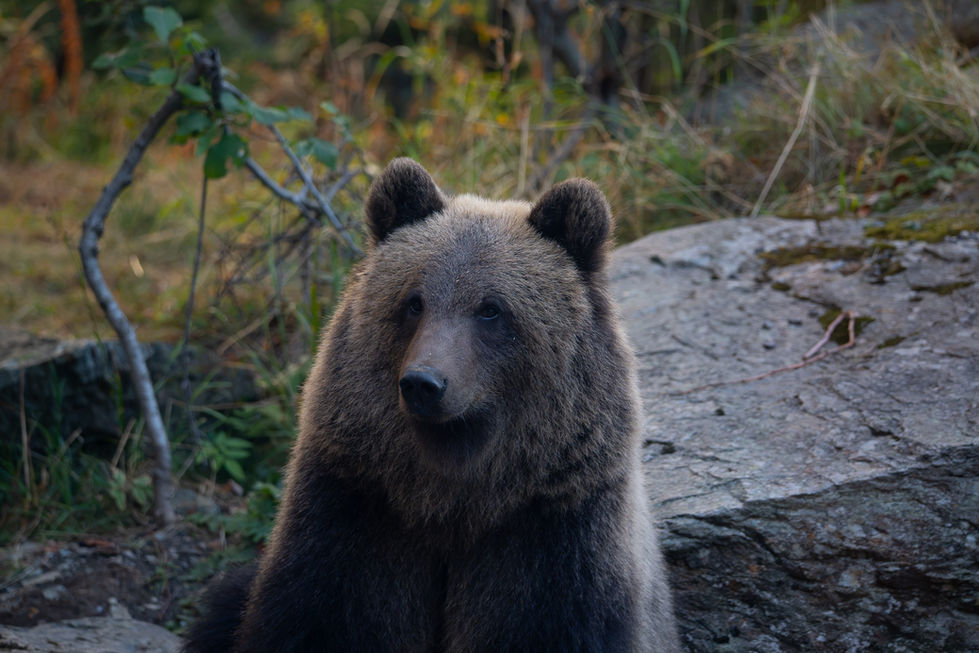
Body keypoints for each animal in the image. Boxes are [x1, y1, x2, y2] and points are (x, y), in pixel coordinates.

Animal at [183, 158, 679, 652]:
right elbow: (325, 615)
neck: (448, 499)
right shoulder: (357, 508)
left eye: (491, 308)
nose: (423, 383)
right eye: (414, 301)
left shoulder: (554, 531)